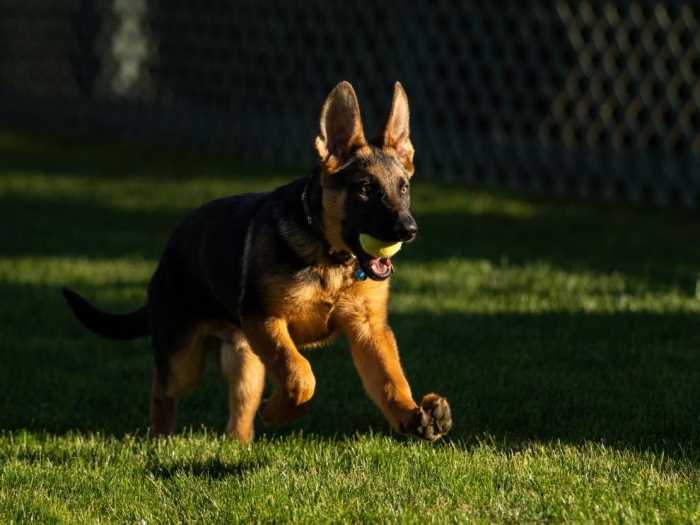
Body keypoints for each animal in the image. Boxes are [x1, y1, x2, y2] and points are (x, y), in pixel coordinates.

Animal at [63, 81, 452, 442]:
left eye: (404, 188)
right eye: (366, 189)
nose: (409, 230)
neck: (329, 257)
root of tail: (168, 253)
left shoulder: (368, 329)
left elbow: (390, 379)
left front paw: (412, 415)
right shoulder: (265, 318)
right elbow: (301, 373)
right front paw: (279, 411)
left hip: (245, 359)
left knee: (239, 410)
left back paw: (239, 444)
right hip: (184, 358)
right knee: (162, 386)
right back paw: (161, 437)